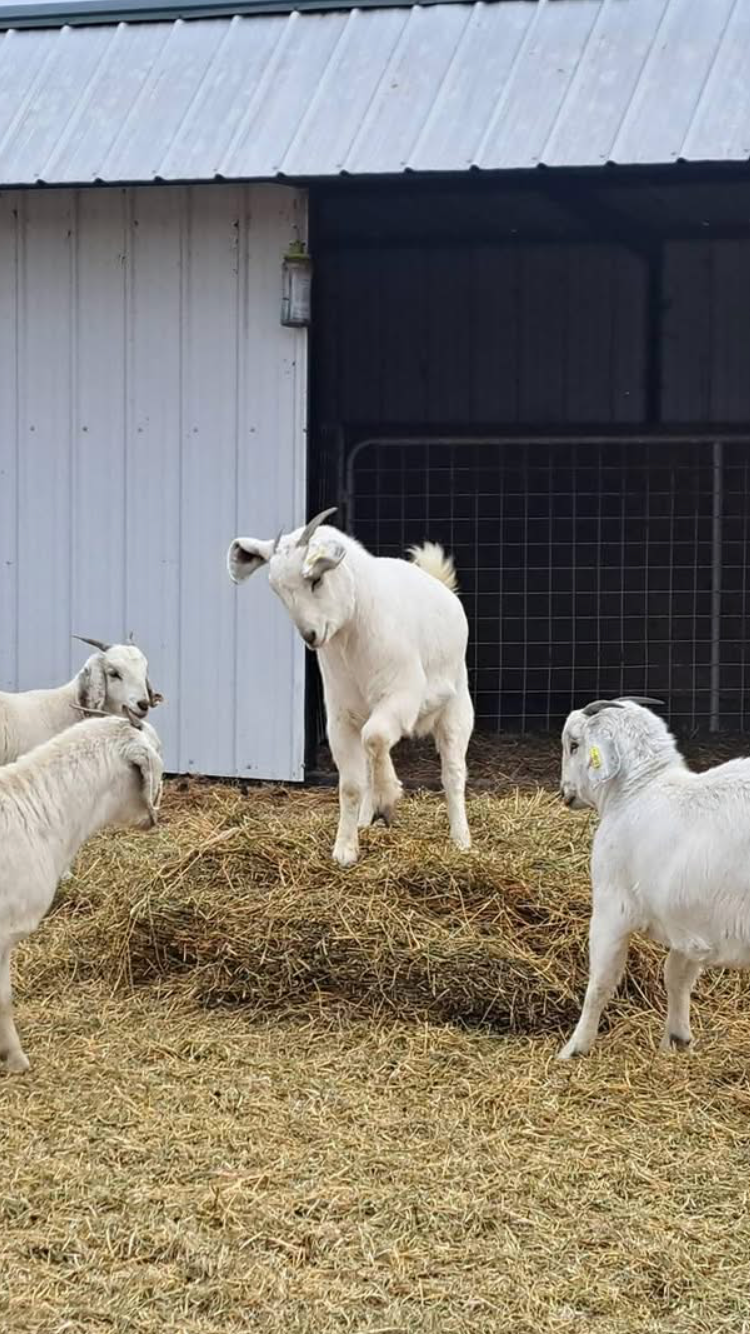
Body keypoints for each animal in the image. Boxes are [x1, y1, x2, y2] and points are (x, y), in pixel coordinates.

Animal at [228, 508, 474, 866]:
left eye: (316, 580)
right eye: (277, 590)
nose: (310, 635)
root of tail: (439, 585)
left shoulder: (402, 695)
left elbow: (375, 738)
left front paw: (389, 796)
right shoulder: (342, 718)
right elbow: (352, 784)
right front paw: (345, 848)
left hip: (457, 708)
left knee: (453, 774)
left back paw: (461, 840)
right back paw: (367, 818)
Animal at [559, 696, 750, 1059]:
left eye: (574, 745)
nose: (565, 793)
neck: (639, 790)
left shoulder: (611, 907)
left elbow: (600, 982)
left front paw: (574, 1048)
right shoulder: (689, 920)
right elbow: (675, 976)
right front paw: (677, 1040)